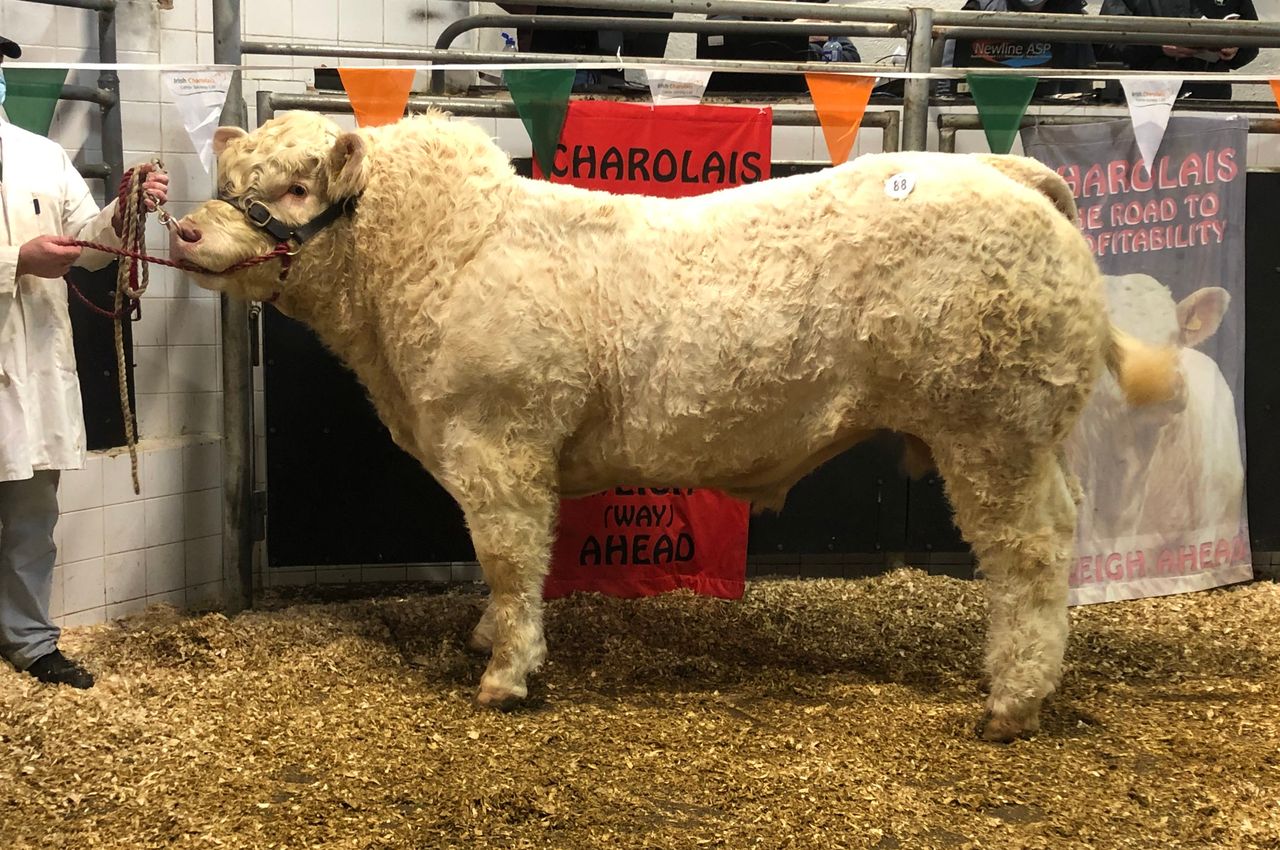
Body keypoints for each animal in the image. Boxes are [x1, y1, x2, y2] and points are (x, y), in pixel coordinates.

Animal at [169, 110, 1177, 742]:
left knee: (1030, 555)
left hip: (991, 431)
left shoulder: (500, 441)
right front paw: (493, 637)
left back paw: (1011, 702)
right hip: (1027, 436)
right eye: (229, 178)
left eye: (294, 190)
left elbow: (510, 554)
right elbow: (502, 566)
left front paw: (506, 674)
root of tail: (1000, 171)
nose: (183, 232)